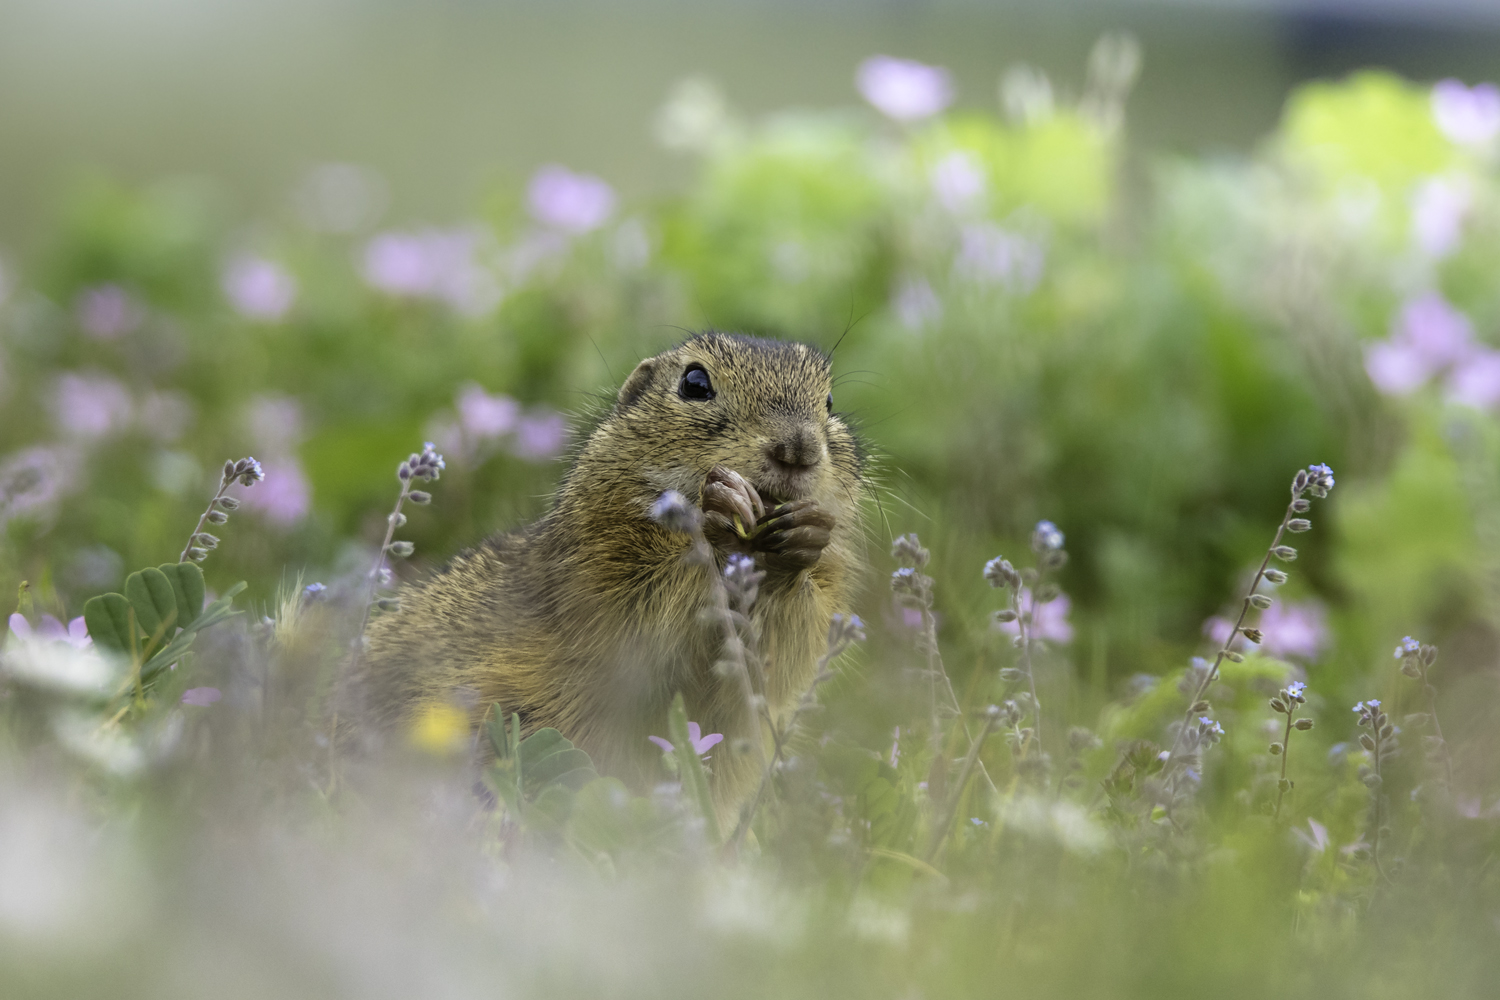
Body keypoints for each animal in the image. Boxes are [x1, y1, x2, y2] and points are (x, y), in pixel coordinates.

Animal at [355, 332, 864, 827]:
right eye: (695, 383)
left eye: (829, 401)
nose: (797, 449)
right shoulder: (595, 564)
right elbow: (640, 616)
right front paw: (721, 506)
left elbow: (778, 659)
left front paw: (806, 533)